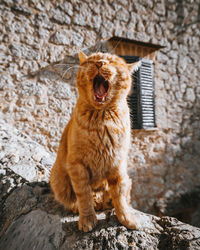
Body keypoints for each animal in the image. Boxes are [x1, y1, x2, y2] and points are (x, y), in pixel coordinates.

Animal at [50, 51, 141, 232]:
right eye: (92, 60)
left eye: (111, 61)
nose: (100, 63)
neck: (102, 120)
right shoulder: (77, 165)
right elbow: (84, 195)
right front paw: (87, 218)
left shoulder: (118, 165)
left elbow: (119, 195)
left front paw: (126, 218)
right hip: (58, 180)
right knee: (74, 198)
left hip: (127, 179)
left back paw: (106, 202)